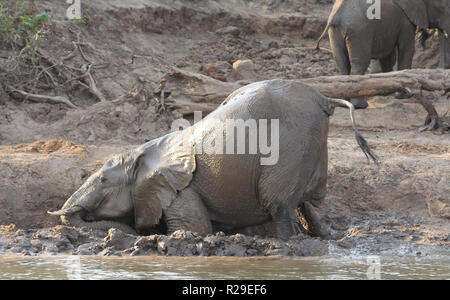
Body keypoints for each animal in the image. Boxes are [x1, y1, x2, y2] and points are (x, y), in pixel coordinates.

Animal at [49, 79, 378, 239]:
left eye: (104, 180)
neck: (143, 151)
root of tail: (323, 99)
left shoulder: (181, 191)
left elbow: (193, 230)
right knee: (304, 204)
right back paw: (328, 236)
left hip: (289, 146)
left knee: (279, 204)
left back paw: (291, 246)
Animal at [316, 0, 450, 105]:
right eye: (444, 7)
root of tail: (336, 16)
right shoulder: (404, 19)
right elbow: (406, 48)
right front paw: (404, 95)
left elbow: (388, 54)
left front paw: (389, 90)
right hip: (359, 32)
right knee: (360, 65)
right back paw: (361, 105)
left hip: (335, 33)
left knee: (342, 64)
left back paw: (347, 100)